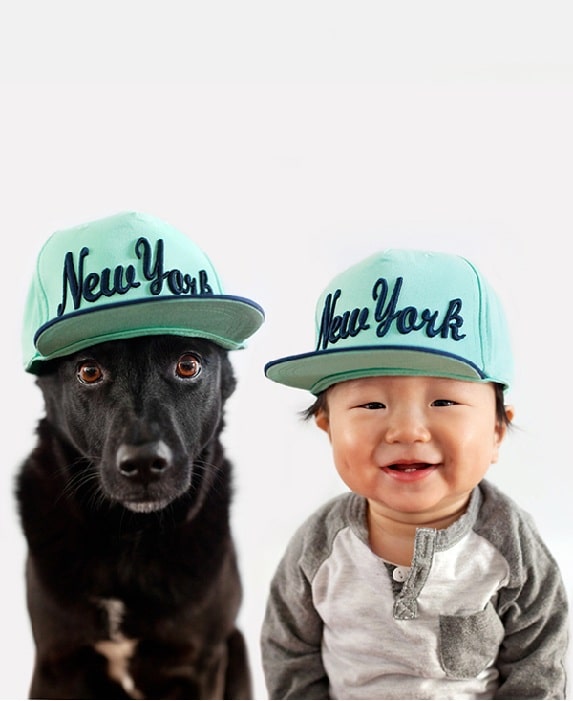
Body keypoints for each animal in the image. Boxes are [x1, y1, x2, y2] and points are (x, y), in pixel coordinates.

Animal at [15, 334, 251, 700]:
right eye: (89, 371)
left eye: (188, 365)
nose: (143, 463)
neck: (129, 536)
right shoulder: (56, 663)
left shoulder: (200, 663)